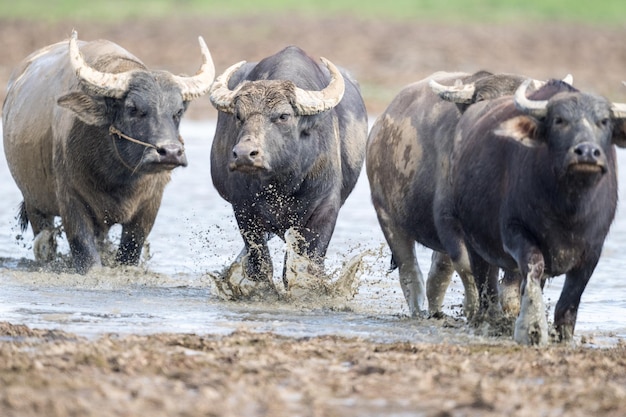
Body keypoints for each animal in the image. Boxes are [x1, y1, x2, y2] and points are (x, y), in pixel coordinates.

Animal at [3, 31, 214, 272]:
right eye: (133, 108)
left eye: (178, 111)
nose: (170, 152)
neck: (117, 178)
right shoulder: (70, 202)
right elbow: (86, 254)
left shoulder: (149, 207)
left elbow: (130, 251)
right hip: (34, 204)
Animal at [208, 45, 366, 298]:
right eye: (239, 115)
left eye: (283, 116)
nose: (243, 154)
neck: (283, 182)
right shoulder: (243, 208)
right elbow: (260, 260)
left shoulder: (325, 208)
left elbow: (308, 262)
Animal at [364, 71, 548, 316]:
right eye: (482, 102)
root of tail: (379, 126)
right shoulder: (448, 220)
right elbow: (467, 267)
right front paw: (473, 307)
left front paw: (511, 310)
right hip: (386, 215)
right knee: (410, 270)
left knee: (439, 271)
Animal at [432, 79, 624, 344]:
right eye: (559, 120)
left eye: (604, 121)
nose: (586, 152)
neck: (569, 207)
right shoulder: (515, 231)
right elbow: (533, 269)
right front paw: (531, 328)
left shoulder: (593, 250)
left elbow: (569, 301)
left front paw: (562, 336)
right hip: (474, 244)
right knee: (485, 289)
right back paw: (488, 321)